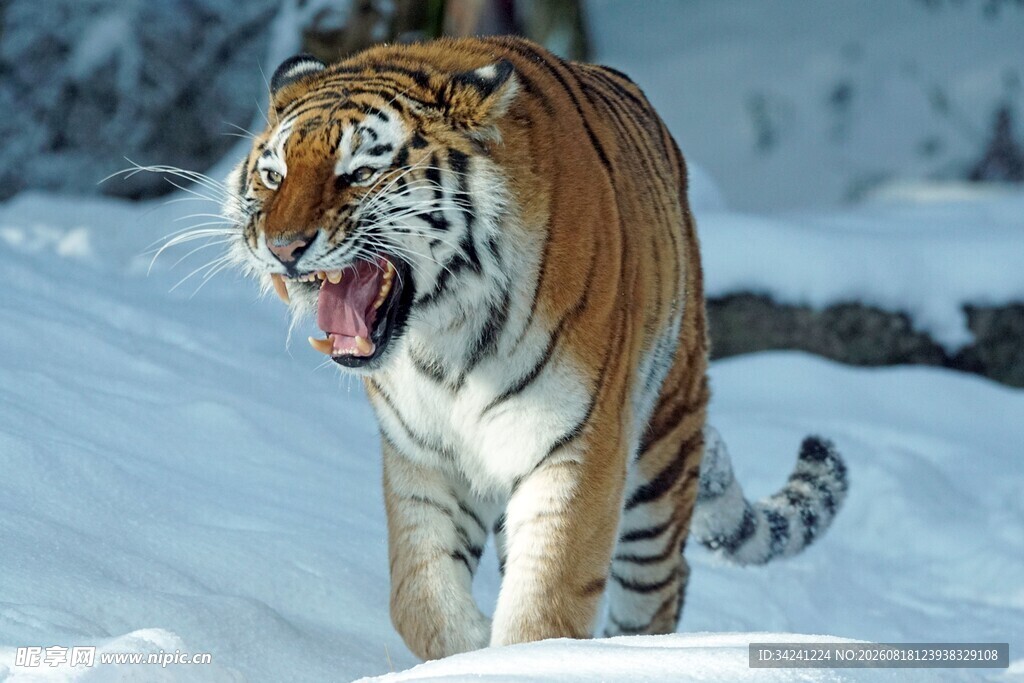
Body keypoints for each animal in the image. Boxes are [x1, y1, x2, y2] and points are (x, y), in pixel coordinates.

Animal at [220, 35, 849, 660]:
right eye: (274, 175)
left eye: (359, 173)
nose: (282, 247)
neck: (443, 336)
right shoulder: (423, 455)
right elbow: (418, 597)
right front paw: (470, 649)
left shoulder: (577, 446)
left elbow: (546, 603)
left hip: (662, 452)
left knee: (661, 587)